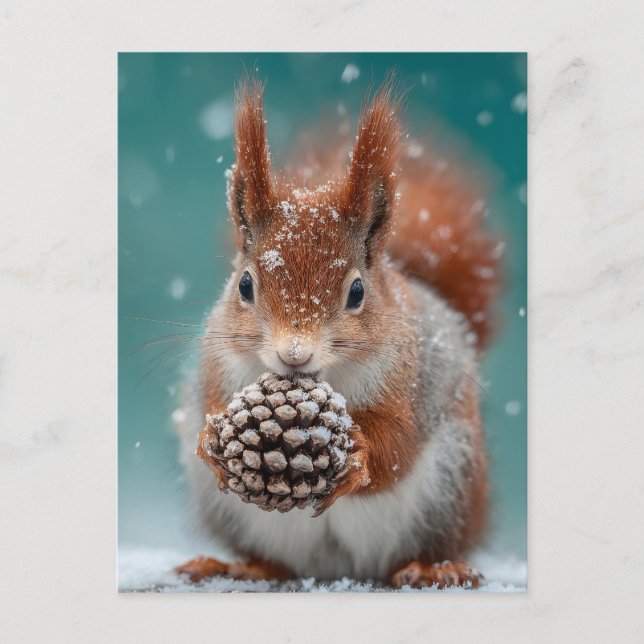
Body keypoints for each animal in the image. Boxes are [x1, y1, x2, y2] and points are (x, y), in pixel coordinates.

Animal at [175, 75, 502, 589]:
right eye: (245, 285)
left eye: (357, 292)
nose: (294, 355)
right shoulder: (219, 365)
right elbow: (211, 404)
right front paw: (210, 440)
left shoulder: (410, 384)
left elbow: (397, 445)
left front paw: (361, 455)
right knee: (275, 562)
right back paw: (242, 564)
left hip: (450, 483)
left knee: (422, 546)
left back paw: (433, 568)